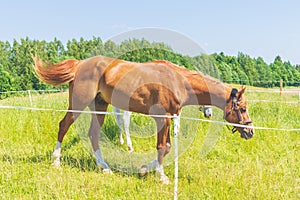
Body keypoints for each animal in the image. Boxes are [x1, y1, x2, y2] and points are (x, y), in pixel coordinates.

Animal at [33, 55, 253, 184]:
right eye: (242, 109)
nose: (250, 131)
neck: (178, 81)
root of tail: (81, 64)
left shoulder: (168, 119)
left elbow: (167, 147)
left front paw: (145, 169)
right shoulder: (162, 118)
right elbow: (163, 147)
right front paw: (161, 177)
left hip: (100, 106)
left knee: (93, 134)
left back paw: (104, 167)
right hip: (79, 103)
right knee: (64, 126)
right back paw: (56, 161)